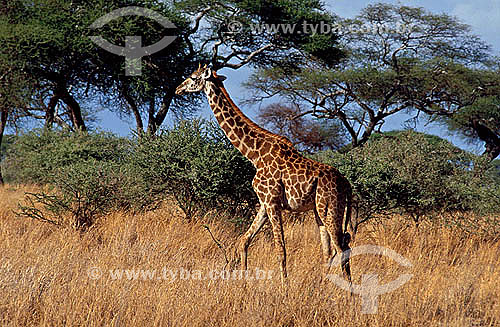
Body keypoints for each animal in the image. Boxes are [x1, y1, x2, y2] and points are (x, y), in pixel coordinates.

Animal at [175, 64, 352, 284]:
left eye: (193, 77)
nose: (177, 89)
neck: (254, 154)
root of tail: (347, 185)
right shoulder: (264, 203)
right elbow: (243, 241)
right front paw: (243, 284)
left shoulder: (272, 202)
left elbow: (280, 249)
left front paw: (284, 288)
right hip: (321, 211)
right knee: (330, 251)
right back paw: (323, 287)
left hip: (329, 208)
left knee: (341, 249)